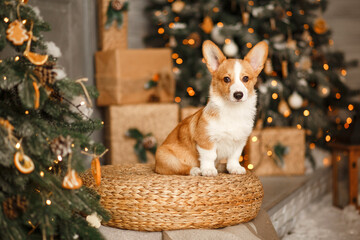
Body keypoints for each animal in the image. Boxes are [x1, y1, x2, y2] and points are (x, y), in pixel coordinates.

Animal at [155, 40, 268, 176]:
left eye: (245, 78)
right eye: (226, 79)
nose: (238, 95)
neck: (233, 110)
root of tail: (156, 165)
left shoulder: (239, 141)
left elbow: (234, 157)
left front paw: (234, 168)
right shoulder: (206, 141)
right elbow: (209, 156)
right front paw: (208, 170)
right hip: (166, 157)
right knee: (180, 168)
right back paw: (196, 170)